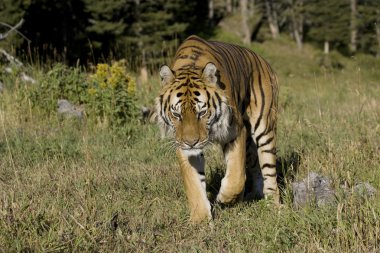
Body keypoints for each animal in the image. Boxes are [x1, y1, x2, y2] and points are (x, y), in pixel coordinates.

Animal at [154, 35, 280, 221]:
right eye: (177, 114)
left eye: (202, 112)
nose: (191, 142)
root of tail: (262, 60)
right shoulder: (183, 146)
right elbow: (193, 182)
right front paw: (200, 219)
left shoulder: (235, 131)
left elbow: (236, 174)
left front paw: (225, 198)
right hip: (250, 145)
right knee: (255, 164)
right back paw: (254, 195)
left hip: (264, 126)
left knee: (269, 167)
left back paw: (274, 206)